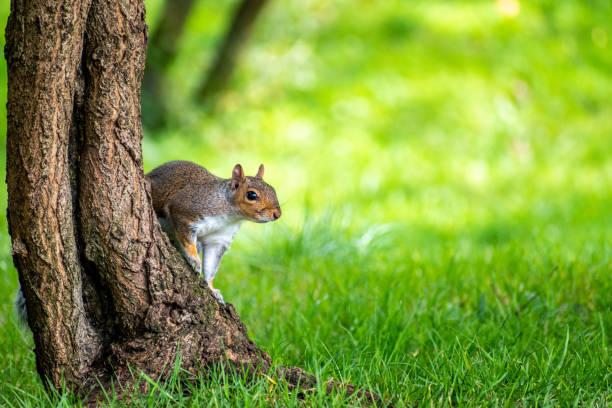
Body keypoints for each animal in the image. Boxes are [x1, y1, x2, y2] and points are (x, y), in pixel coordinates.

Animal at [146, 161, 282, 304]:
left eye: (273, 190)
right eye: (252, 195)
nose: (277, 214)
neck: (230, 216)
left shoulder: (219, 239)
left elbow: (211, 265)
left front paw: (212, 289)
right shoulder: (185, 212)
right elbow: (187, 240)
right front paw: (194, 259)